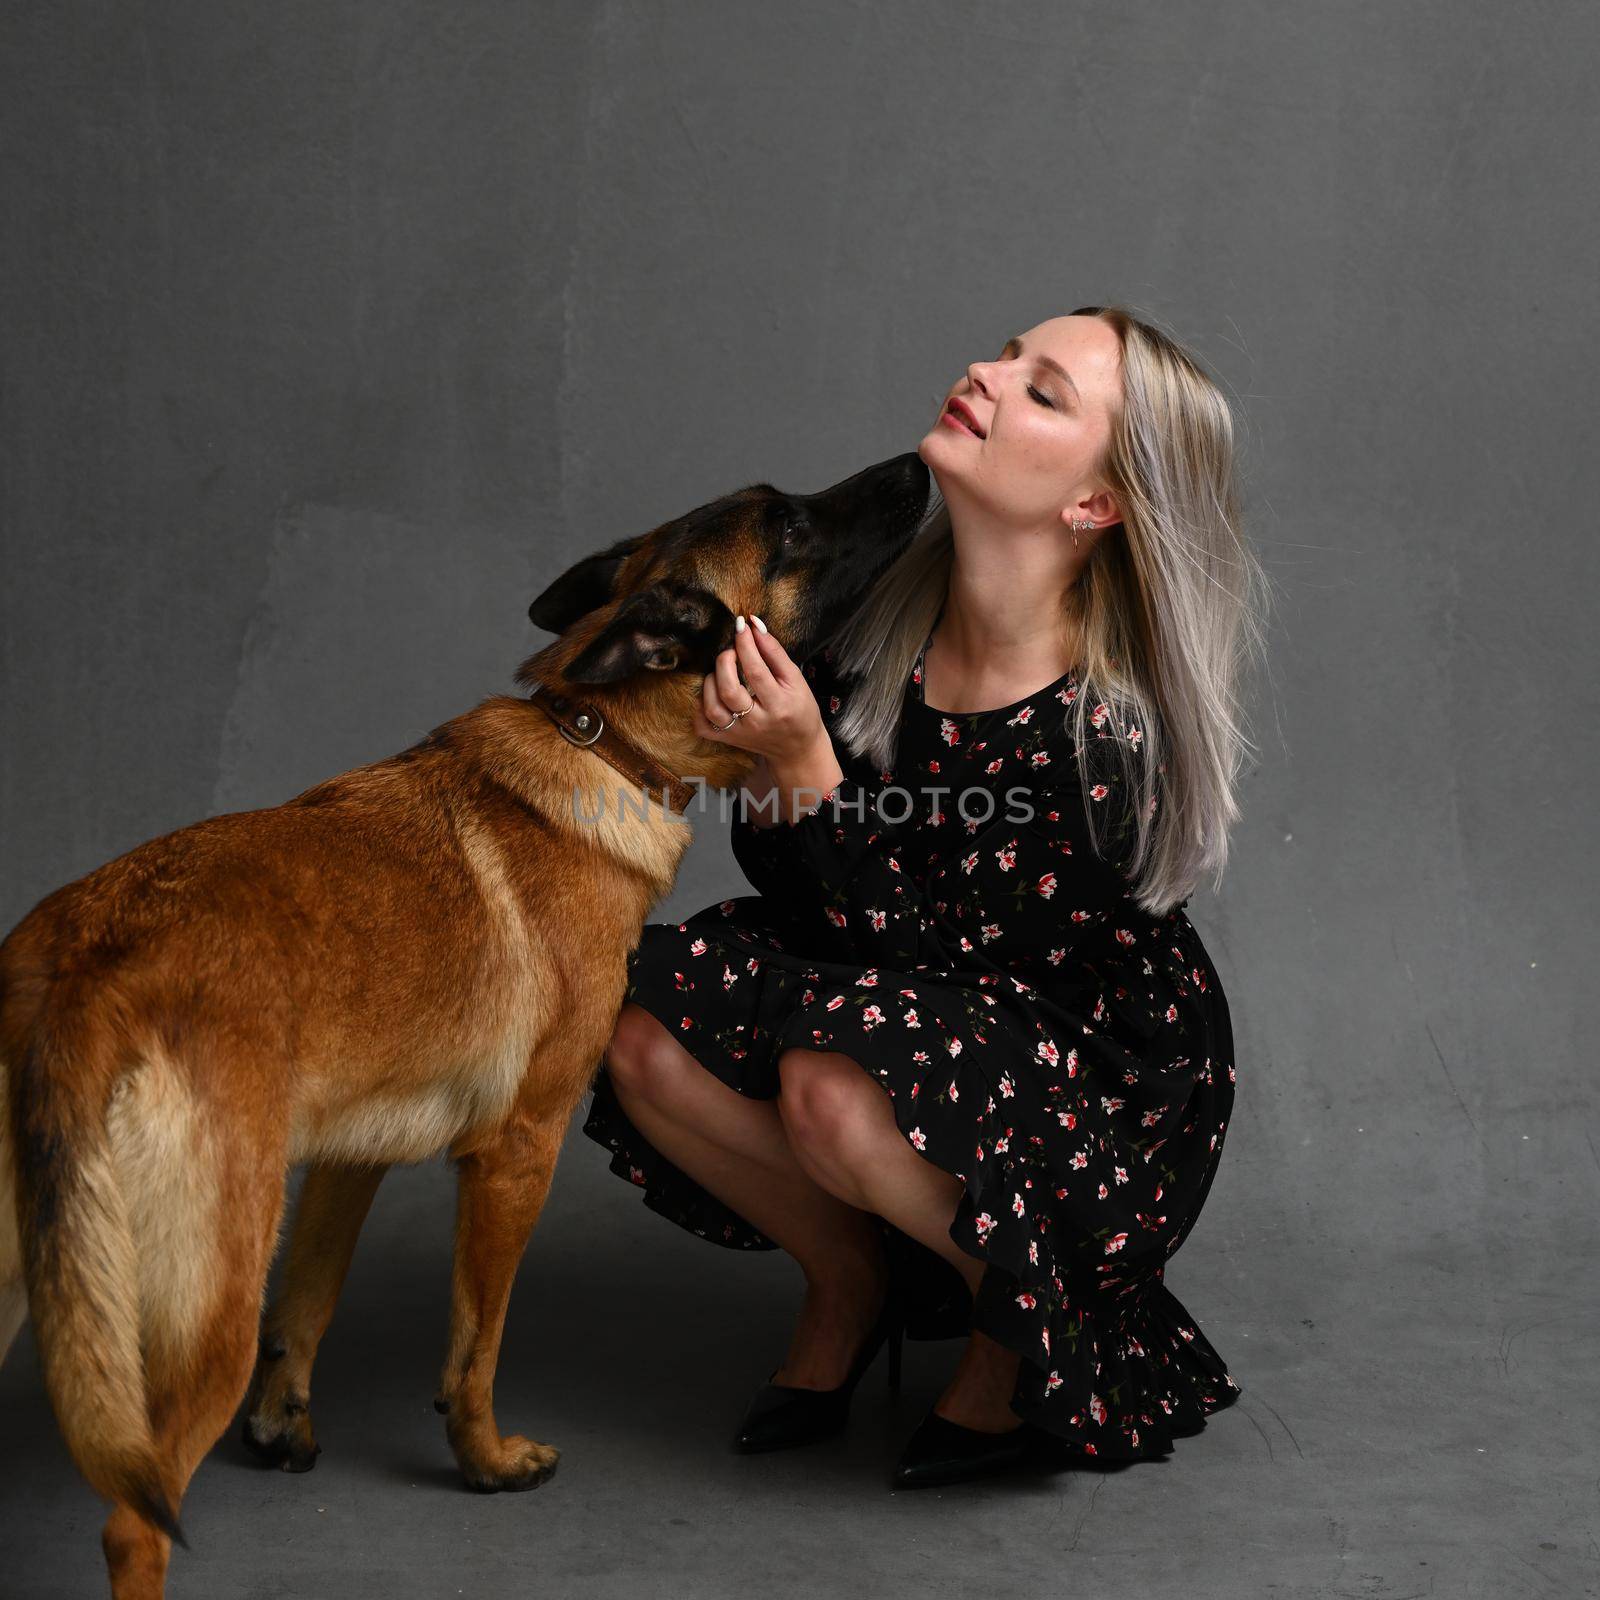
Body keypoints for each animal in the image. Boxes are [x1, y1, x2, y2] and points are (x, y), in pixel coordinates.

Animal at [0, 451, 934, 1600]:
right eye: (793, 528)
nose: (920, 463)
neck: (603, 740)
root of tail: (85, 970)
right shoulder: (515, 1155)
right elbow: (475, 1343)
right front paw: (485, 1461)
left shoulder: (348, 1160)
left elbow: (309, 1302)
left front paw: (282, 1429)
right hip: (206, 1298)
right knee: (136, 1524)